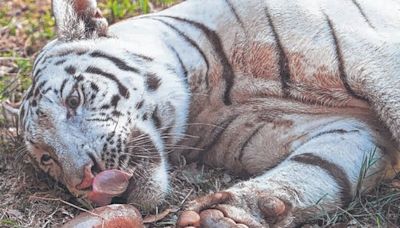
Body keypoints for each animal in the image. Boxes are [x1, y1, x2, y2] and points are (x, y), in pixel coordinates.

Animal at [17, 0, 400, 227]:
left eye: (73, 99)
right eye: (48, 159)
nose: (86, 181)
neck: (209, 92)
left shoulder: (377, 59)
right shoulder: (348, 127)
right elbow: (319, 169)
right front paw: (226, 216)